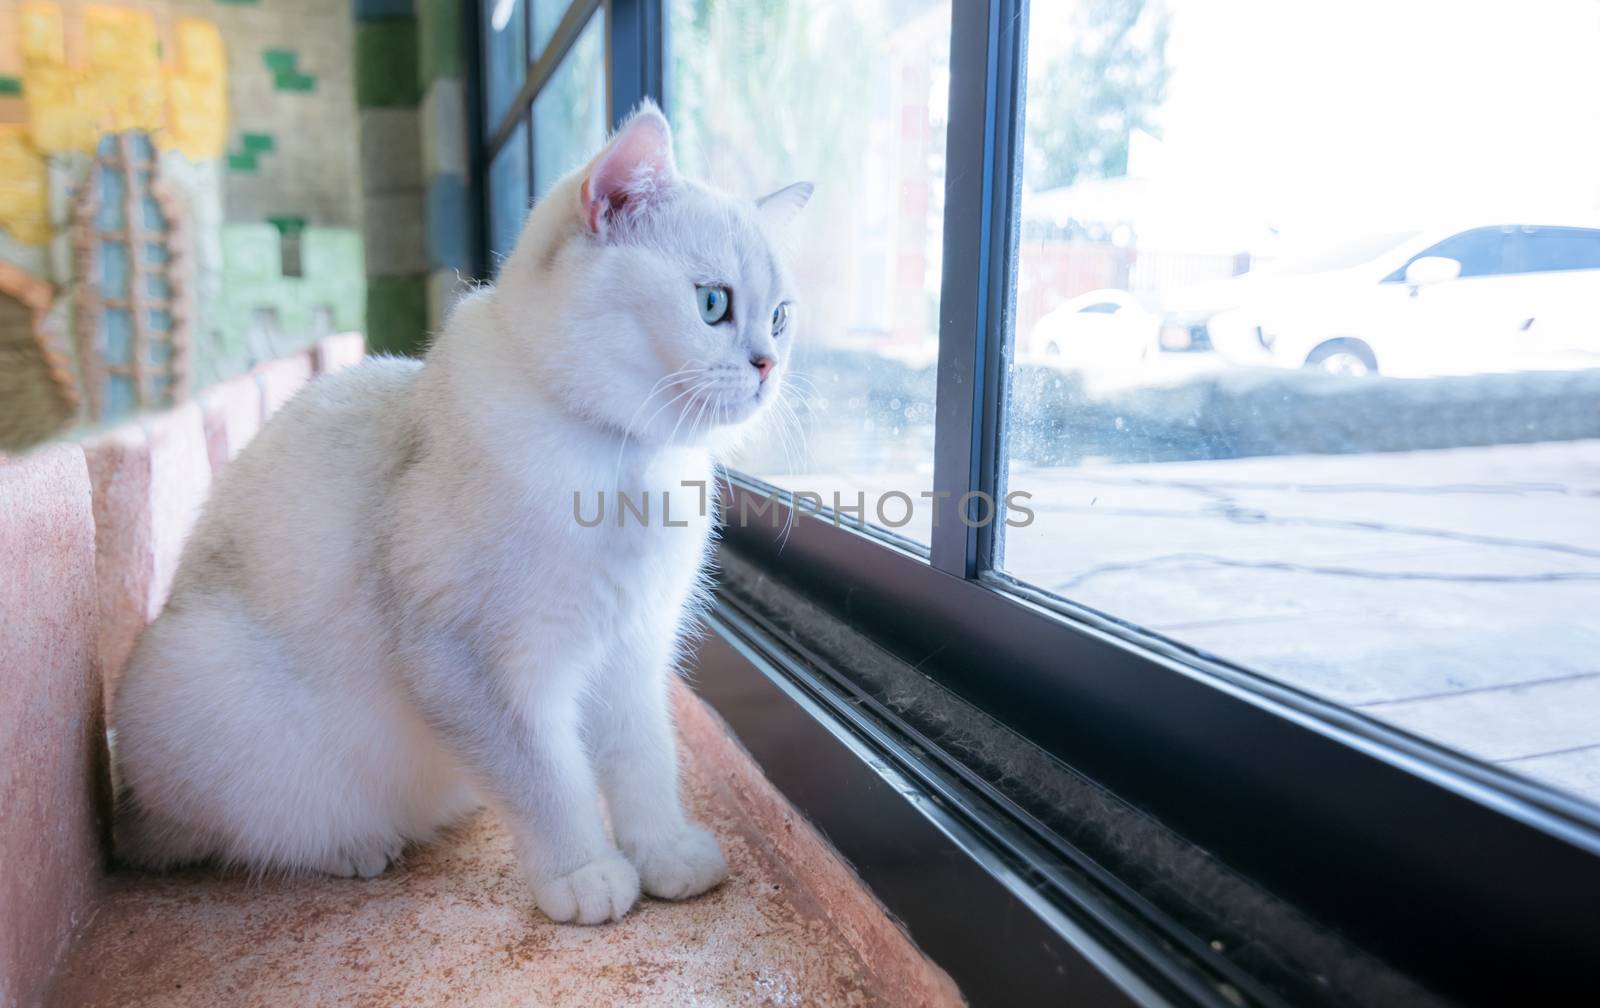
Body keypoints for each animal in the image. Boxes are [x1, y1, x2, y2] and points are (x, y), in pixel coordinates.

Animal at [109, 100, 812, 921]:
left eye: (781, 317)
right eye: (713, 304)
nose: (768, 365)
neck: (624, 459)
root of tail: (133, 811)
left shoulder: (632, 650)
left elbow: (644, 762)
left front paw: (666, 855)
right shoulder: (469, 657)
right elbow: (546, 780)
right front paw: (584, 873)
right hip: (212, 677)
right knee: (252, 836)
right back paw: (357, 849)